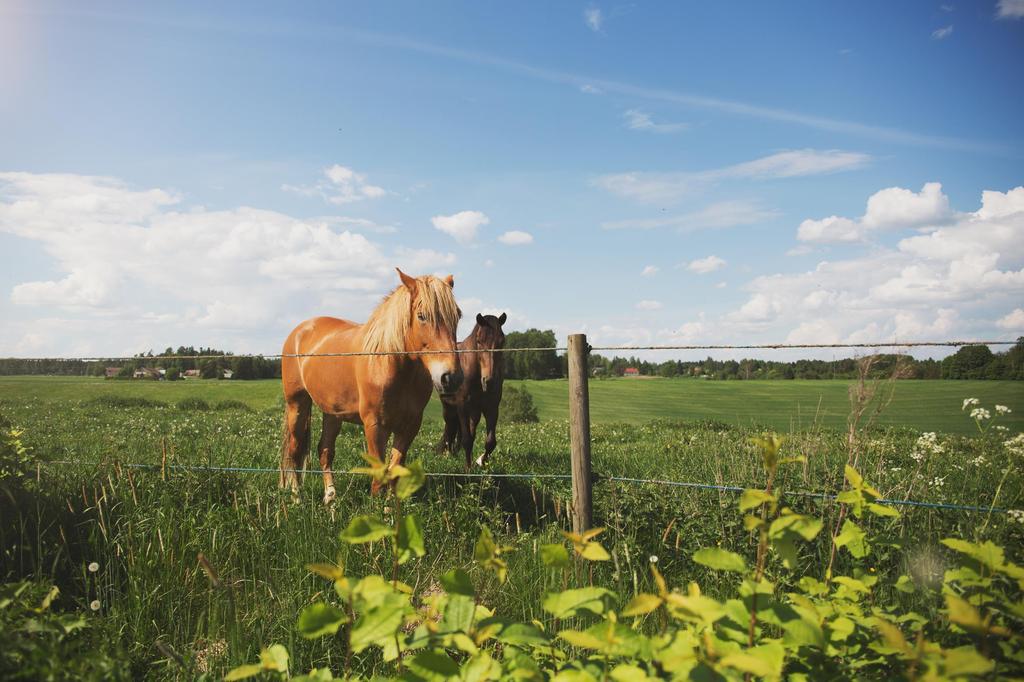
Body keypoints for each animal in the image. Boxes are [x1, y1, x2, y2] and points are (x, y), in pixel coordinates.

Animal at [276, 268, 460, 501]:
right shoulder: (374, 425)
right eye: (422, 316)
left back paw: (330, 496)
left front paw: (390, 505)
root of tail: (299, 331)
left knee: (325, 450)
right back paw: (296, 495)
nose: (450, 377)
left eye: (458, 316)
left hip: (332, 414)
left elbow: (394, 469)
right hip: (297, 405)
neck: (391, 364)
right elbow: (379, 474)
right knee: (294, 448)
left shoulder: (410, 425)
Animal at [438, 311, 505, 466]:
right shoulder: (462, 406)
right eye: (479, 341)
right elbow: (467, 440)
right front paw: (468, 469)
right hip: (448, 407)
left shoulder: (492, 407)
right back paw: (448, 453)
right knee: (450, 426)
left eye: (502, 341)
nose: (489, 381)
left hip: (475, 411)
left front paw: (481, 461)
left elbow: (490, 442)